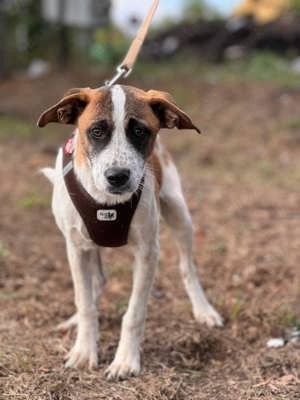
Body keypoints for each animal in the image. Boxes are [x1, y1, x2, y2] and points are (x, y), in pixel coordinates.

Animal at [38, 85, 223, 382]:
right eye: (96, 131)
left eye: (139, 131)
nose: (117, 176)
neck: (107, 203)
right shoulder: (76, 247)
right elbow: (85, 303)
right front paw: (84, 351)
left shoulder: (148, 252)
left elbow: (134, 314)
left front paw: (125, 360)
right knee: (96, 282)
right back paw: (74, 320)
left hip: (179, 213)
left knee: (187, 267)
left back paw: (204, 310)